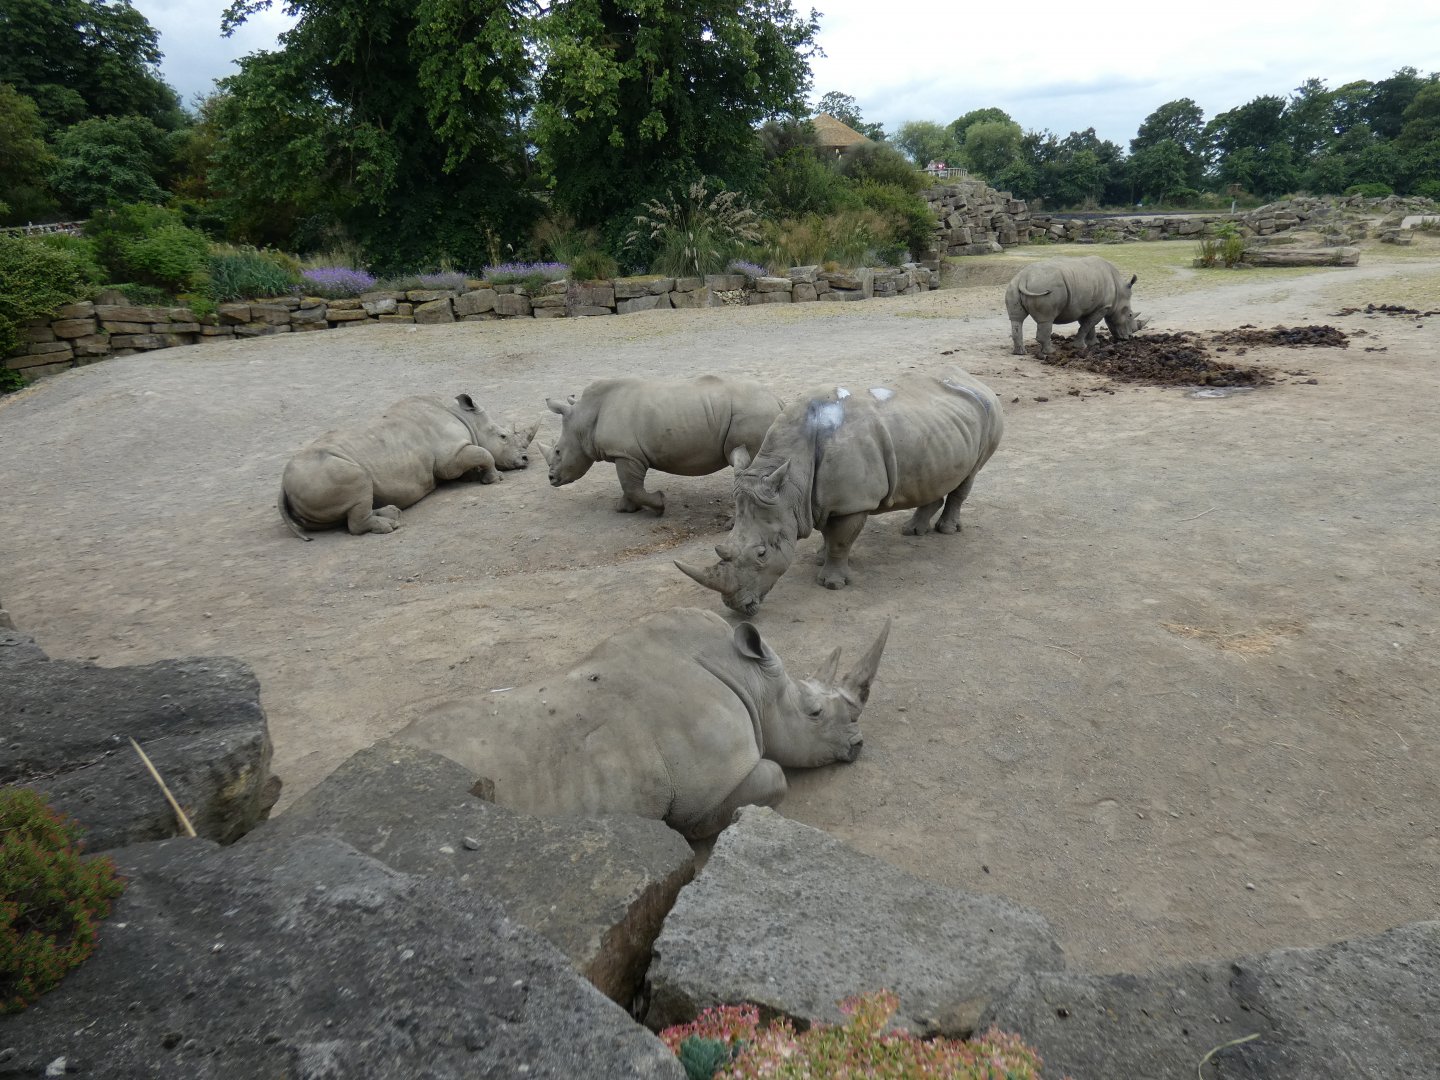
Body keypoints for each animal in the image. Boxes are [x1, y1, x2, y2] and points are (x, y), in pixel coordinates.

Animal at [279, 394, 538, 539]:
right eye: (503, 436)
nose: (526, 459)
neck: (466, 418)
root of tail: (283, 485)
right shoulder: (449, 459)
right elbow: (484, 453)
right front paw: (495, 479)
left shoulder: (453, 458)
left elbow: (475, 459)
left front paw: (477, 477)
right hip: (326, 472)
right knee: (359, 483)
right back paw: (390, 526)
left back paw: (392, 514)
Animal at [537, 375, 783, 514]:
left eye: (558, 451)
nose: (551, 479)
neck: (584, 419)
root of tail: (776, 399)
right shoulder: (627, 454)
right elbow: (629, 486)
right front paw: (625, 509)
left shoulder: (627, 454)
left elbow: (632, 486)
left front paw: (659, 504)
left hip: (753, 413)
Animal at [676, 369, 1003, 615]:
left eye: (762, 553)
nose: (736, 607)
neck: (791, 477)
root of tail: (975, 380)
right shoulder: (814, 499)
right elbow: (826, 533)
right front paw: (819, 557)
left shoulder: (853, 503)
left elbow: (840, 540)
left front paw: (831, 584)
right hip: (938, 429)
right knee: (935, 477)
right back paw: (912, 532)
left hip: (991, 415)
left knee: (970, 475)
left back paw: (946, 530)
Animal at [1005, 255, 1147, 356]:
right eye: (1130, 315)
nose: (1128, 338)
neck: (1119, 292)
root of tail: (1024, 277)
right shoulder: (1103, 307)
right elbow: (1088, 325)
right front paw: (1080, 347)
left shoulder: (1086, 306)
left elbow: (1088, 325)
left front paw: (1094, 344)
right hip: (1044, 286)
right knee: (1046, 319)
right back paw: (1051, 352)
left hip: (1014, 284)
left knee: (1016, 319)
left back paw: (1020, 353)